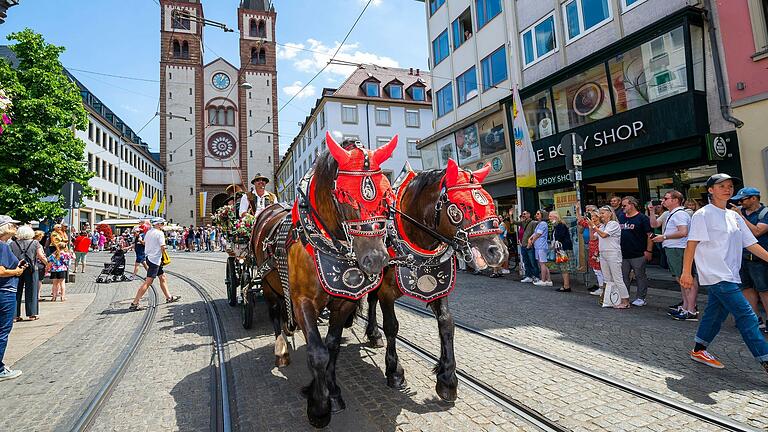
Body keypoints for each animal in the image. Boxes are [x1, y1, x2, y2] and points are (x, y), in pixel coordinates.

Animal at [252, 132, 400, 428]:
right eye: (343, 194)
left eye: (387, 194)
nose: (377, 259)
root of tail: (269, 208)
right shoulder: (302, 302)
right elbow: (317, 352)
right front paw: (318, 407)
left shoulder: (343, 302)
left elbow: (331, 347)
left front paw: (331, 390)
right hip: (269, 285)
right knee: (274, 312)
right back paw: (281, 348)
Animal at [364, 159, 508, 402]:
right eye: (462, 206)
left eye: (490, 203)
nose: (498, 252)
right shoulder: (386, 292)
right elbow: (392, 326)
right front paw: (394, 371)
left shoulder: (439, 286)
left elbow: (447, 324)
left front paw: (447, 378)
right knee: (371, 300)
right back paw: (374, 333)